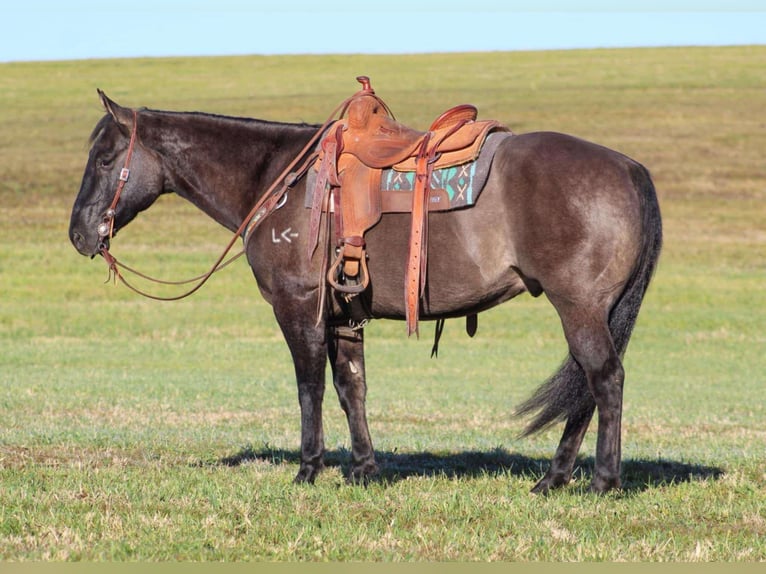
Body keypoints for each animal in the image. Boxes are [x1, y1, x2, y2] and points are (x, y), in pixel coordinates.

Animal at [69, 86, 664, 496]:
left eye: (105, 159)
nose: (79, 234)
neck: (280, 182)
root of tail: (630, 168)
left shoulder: (298, 309)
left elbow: (309, 387)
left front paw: (308, 470)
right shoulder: (344, 315)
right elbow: (350, 387)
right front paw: (362, 469)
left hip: (579, 308)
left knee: (603, 379)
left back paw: (601, 482)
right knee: (585, 388)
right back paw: (553, 479)